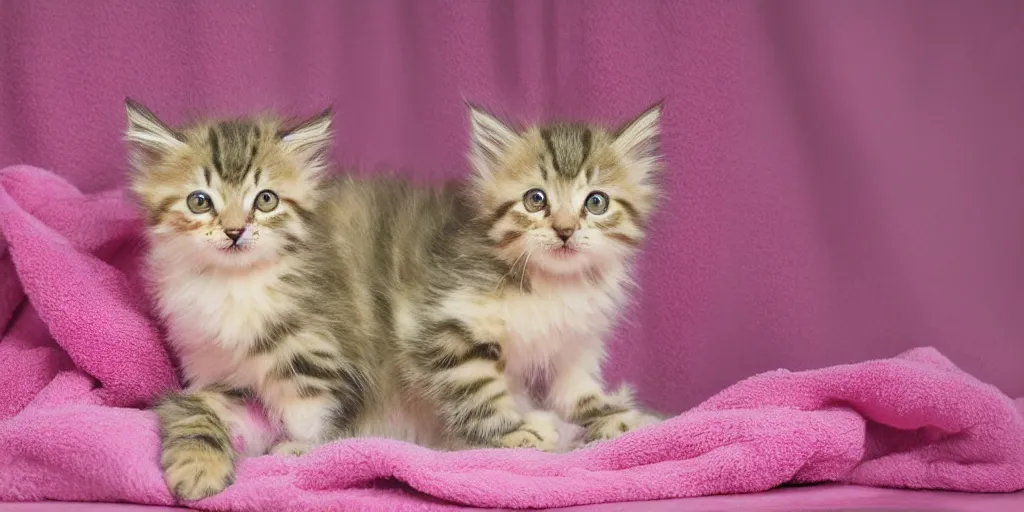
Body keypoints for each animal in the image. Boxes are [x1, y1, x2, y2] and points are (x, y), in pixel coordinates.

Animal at [123, 96, 663, 499]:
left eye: (596, 202)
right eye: (536, 200)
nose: (566, 231)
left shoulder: (572, 344)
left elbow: (576, 393)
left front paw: (616, 418)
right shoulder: (436, 329)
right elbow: (478, 393)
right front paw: (517, 433)